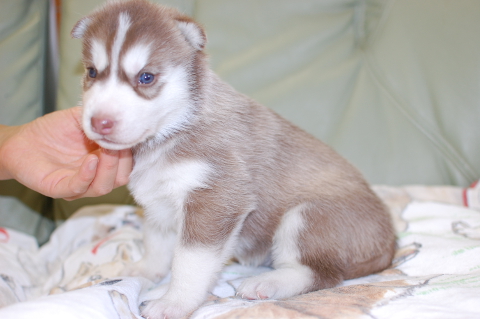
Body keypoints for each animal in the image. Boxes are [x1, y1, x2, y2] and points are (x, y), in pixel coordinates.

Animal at [71, 1, 394, 318]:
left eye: (146, 77)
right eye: (92, 72)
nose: (100, 122)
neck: (173, 129)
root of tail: (391, 242)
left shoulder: (215, 198)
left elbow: (188, 263)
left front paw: (174, 302)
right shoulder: (158, 203)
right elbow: (156, 244)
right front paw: (144, 271)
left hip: (307, 216)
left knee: (322, 273)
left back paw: (267, 282)